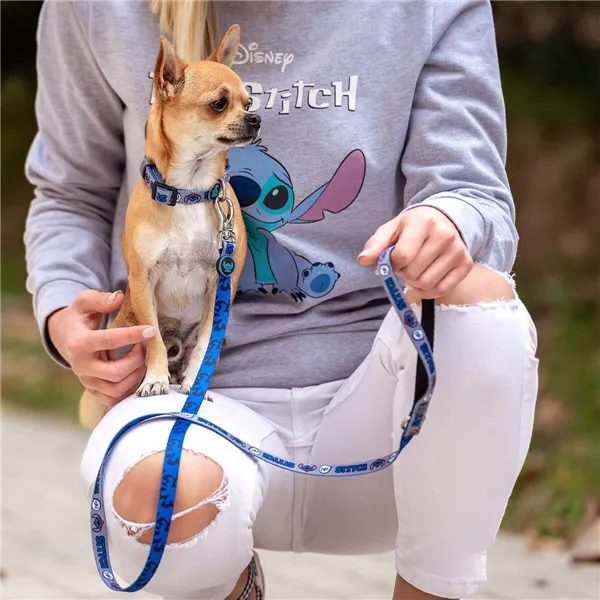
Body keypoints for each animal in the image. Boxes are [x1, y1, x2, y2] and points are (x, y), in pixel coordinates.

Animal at [79, 25, 258, 428]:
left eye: (249, 102)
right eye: (219, 104)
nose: (256, 120)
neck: (190, 191)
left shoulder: (220, 285)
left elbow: (206, 343)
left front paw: (195, 384)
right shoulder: (143, 279)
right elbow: (154, 340)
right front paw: (155, 380)